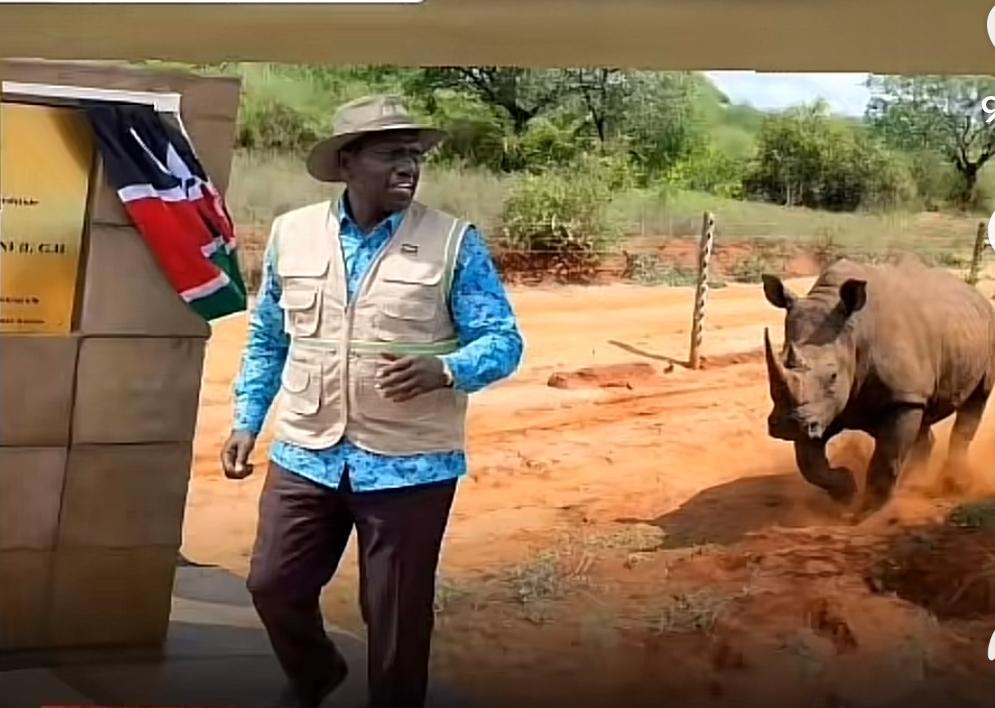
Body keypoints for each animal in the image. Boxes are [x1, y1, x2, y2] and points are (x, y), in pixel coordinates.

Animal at [761, 255, 995, 513]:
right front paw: (847, 491)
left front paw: (867, 510)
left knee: (976, 401)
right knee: (924, 419)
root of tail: (977, 295)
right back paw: (914, 483)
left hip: (987, 330)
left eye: (833, 375)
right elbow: (810, 464)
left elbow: (886, 458)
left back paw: (952, 484)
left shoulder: (900, 397)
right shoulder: (821, 410)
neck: (854, 332)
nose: (788, 425)